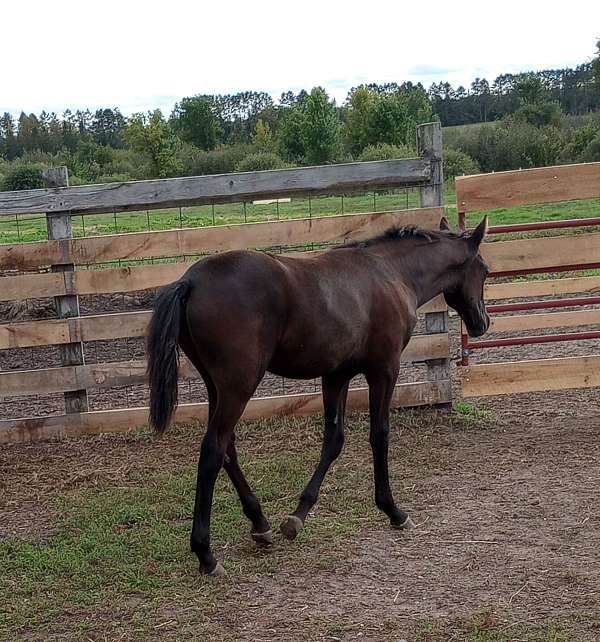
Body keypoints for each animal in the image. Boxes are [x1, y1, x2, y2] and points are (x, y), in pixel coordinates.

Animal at [146, 215, 490, 576]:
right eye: (484, 270)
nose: (482, 323)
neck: (391, 273)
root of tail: (191, 282)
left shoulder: (336, 375)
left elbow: (334, 440)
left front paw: (297, 516)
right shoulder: (384, 370)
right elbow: (379, 434)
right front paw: (394, 511)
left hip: (217, 387)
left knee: (228, 448)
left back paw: (260, 523)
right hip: (238, 386)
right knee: (213, 450)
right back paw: (206, 555)